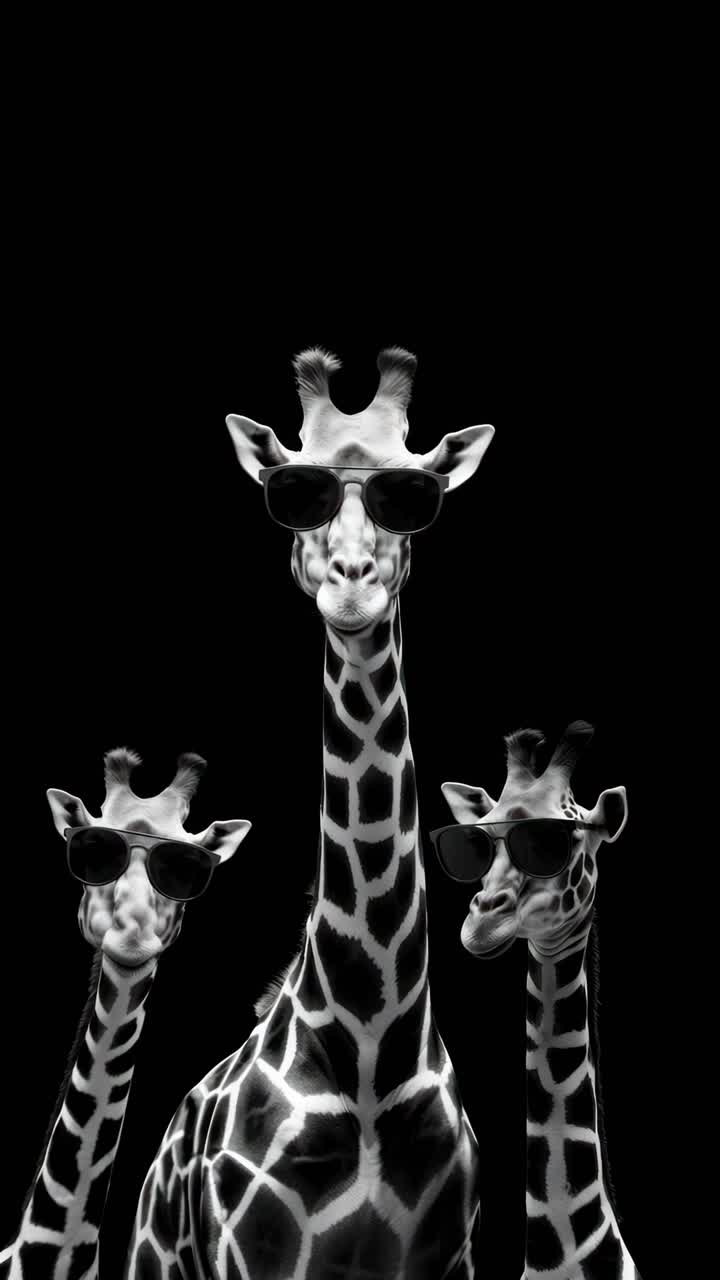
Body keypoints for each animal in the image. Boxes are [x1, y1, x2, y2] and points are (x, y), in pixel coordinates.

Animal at [123, 347, 494, 1278]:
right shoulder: (252, 1254)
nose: (351, 586)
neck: (369, 1045)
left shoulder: (450, 1255)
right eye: (296, 490)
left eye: (413, 493)